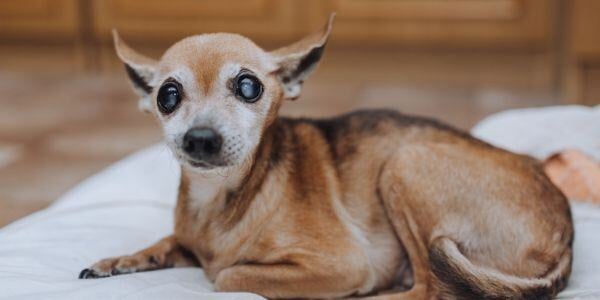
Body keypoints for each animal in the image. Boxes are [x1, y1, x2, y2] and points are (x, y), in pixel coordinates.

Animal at [78, 15, 572, 298]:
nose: (200, 138)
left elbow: (226, 274)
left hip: (404, 164)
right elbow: (169, 242)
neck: (220, 202)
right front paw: (119, 260)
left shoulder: (341, 264)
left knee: (430, 289)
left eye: (248, 86)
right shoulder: (188, 236)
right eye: (167, 96)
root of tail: (565, 236)